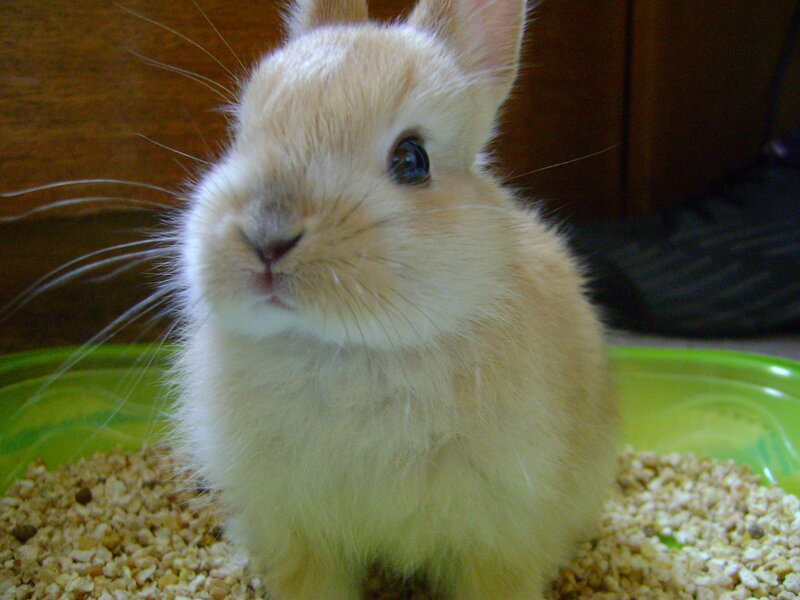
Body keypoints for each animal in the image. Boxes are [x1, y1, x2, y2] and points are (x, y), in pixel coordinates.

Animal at [171, 0, 619, 598]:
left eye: (413, 159)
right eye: (240, 133)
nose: (266, 237)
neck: (349, 349)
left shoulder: (497, 540)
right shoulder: (299, 539)